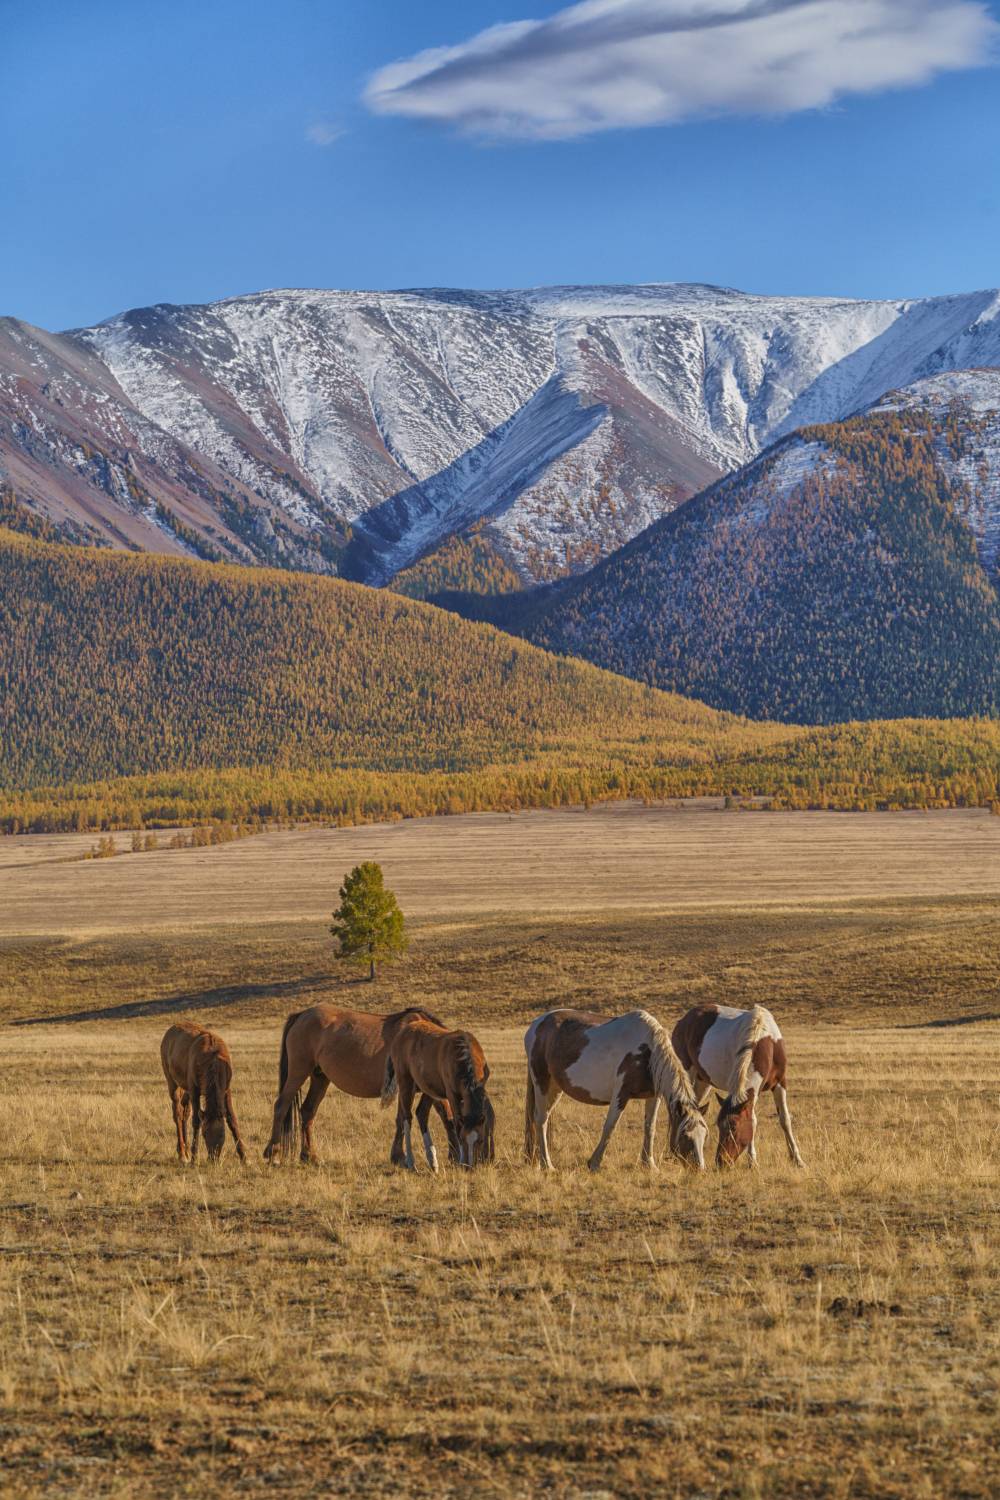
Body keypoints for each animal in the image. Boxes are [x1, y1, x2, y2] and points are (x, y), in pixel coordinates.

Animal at [160, 1020, 246, 1164]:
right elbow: (196, 1121)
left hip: (185, 1089)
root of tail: (168, 1033)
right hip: (172, 1081)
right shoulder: (194, 1089)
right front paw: (194, 1158)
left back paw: (185, 1150)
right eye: (205, 1133)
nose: (213, 1158)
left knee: (185, 1113)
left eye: (222, 1134)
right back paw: (182, 1153)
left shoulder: (226, 1089)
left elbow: (232, 1118)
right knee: (177, 1112)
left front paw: (244, 1157)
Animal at [262, 1005, 462, 1166]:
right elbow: (403, 1119)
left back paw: (309, 1156)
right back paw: (274, 1154)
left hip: (319, 1078)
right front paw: (399, 1156)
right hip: (299, 1071)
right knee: (281, 1106)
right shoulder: (405, 1088)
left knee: (307, 1111)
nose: (462, 1160)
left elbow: (443, 1116)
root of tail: (302, 1014)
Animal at [381, 1014, 494, 1169]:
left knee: (421, 1113)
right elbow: (457, 1123)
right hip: (406, 1084)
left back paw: (433, 1161)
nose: (469, 1166)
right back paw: (411, 1162)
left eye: (481, 1140)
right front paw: (460, 1160)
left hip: (428, 1089)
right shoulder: (452, 1096)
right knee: (406, 1118)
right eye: (463, 1139)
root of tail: (401, 1034)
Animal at [523, 1009, 708, 1172]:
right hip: (541, 1082)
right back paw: (547, 1164)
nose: (699, 1168)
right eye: (685, 1135)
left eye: (705, 1135)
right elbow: (610, 1127)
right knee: (540, 1120)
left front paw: (649, 1164)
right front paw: (594, 1163)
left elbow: (650, 1127)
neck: (648, 1051)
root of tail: (537, 1024)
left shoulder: (654, 1096)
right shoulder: (621, 1095)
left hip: (555, 1088)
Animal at [671, 1003, 805, 1168]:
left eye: (734, 1127)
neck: (766, 1040)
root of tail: (684, 1020)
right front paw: (752, 1161)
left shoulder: (780, 1083)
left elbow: (784, 1119)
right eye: (719, 1126)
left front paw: (797, 1159)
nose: (721, 1161)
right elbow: (753, 1119)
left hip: (703, 1082)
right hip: (687, 1074)